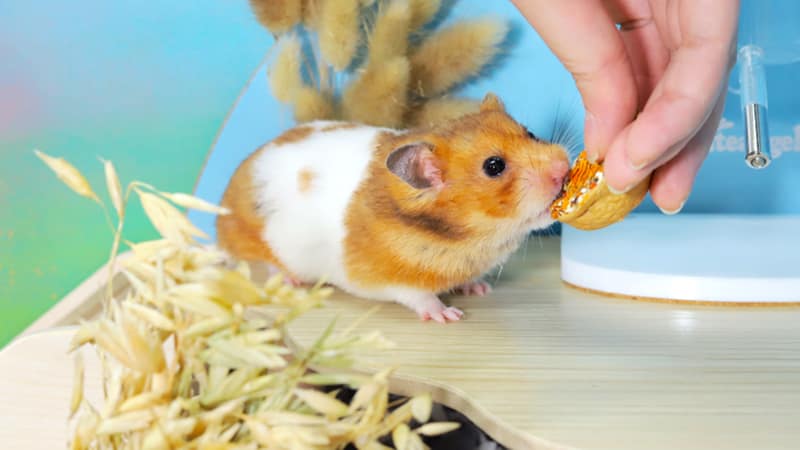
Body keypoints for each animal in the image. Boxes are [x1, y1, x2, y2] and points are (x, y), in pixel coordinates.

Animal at [216, 93, 569, 323]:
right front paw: (449, 315)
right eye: (494, 166)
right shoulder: (390, 280)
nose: (564, 168)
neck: (472, 237)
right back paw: (292, 282)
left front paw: (479, 288)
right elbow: (420, 297)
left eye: (530, 132)